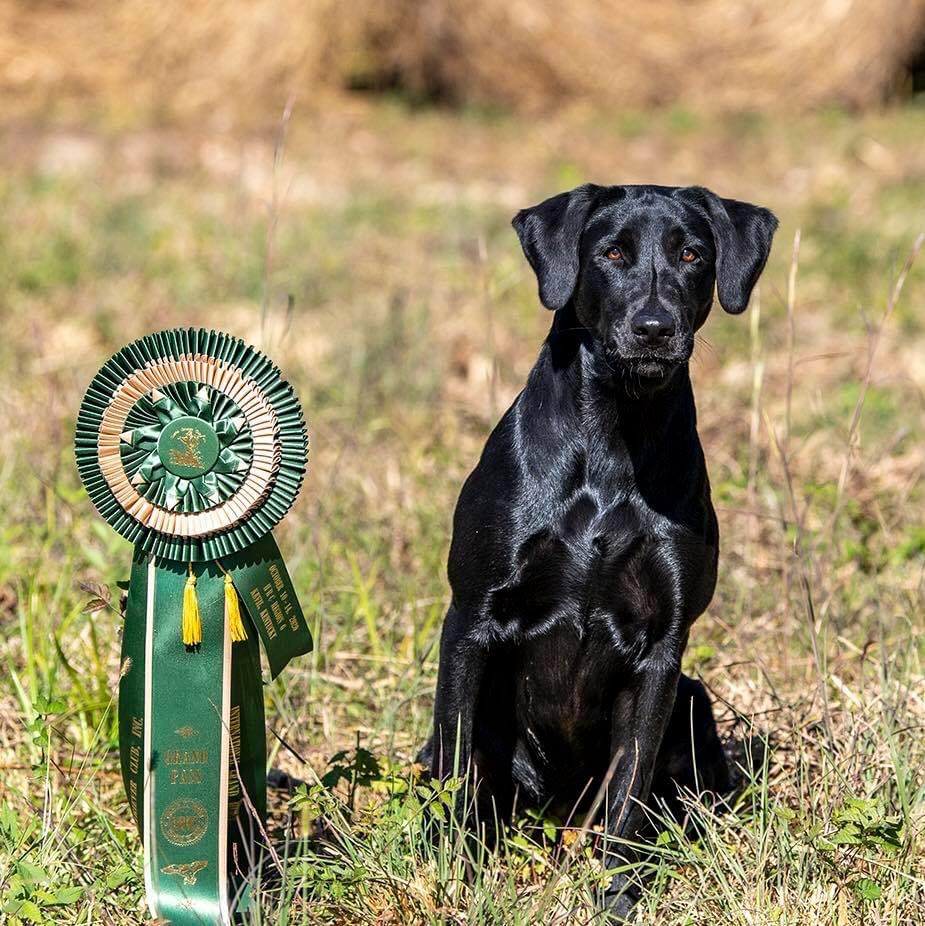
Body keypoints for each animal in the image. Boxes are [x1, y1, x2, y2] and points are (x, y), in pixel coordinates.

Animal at [416, 183, 772, 920]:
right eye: (611, 254)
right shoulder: (470, 620)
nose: (654, 327)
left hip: (694, 702)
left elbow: (629, 789)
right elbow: (459, 767)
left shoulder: (663, 649)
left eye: (691, 255)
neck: (615, 434)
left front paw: (618, 894)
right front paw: (454, 877)